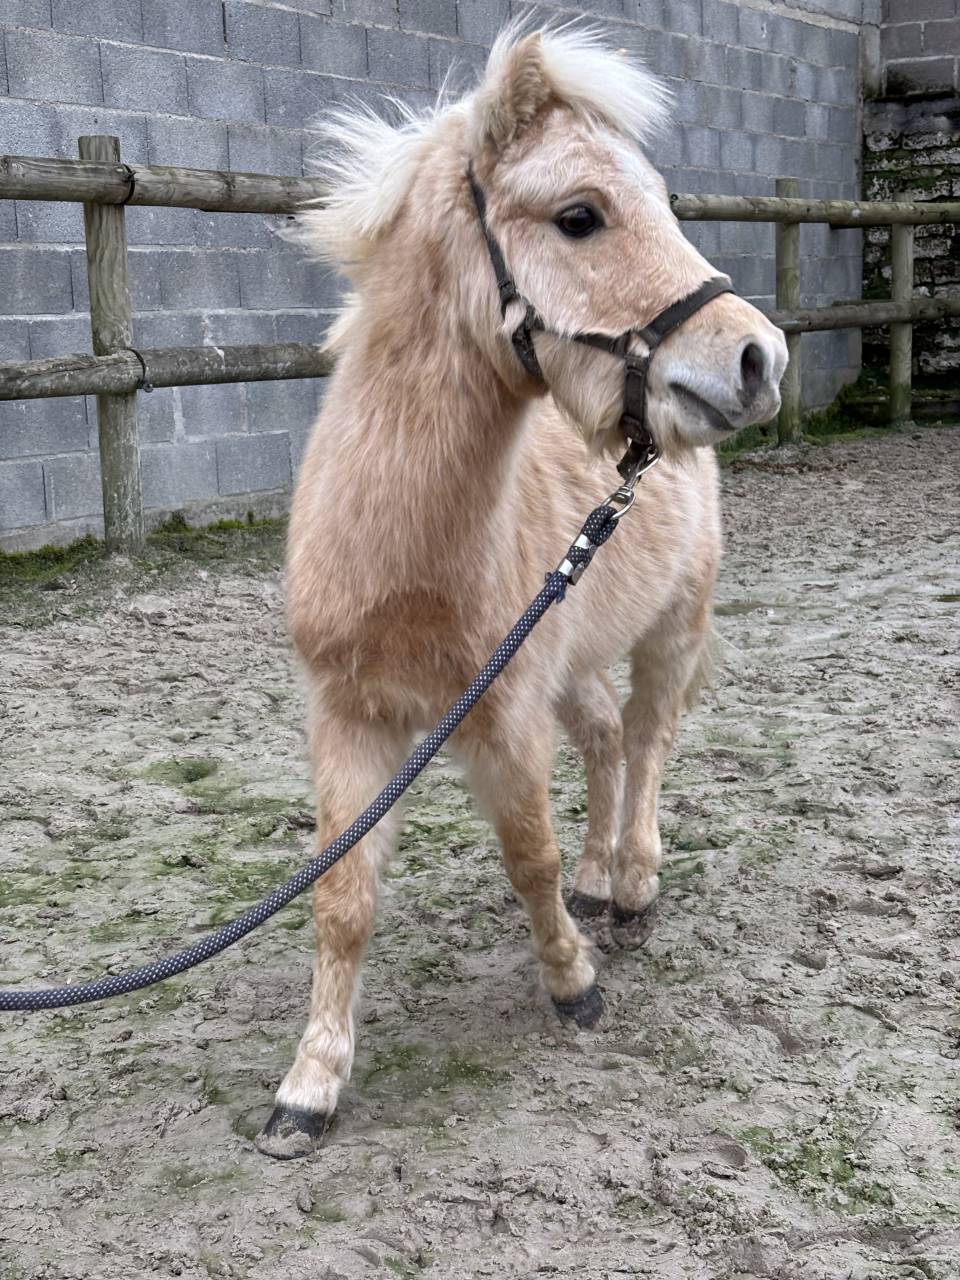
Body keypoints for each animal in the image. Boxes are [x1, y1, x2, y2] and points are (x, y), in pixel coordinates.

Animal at [255, 25, 788, 1158]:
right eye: (580, 215)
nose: (758, 358)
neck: (405, 559)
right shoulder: (350, 718)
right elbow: (341, 895)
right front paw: (310, 1087)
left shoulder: (503, 717)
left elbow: (528, 854)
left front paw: (573, 983)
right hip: (572, 655)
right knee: (606, 739)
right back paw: (601, 877)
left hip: (672, 626)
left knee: (646, 740)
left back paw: (629, 885)